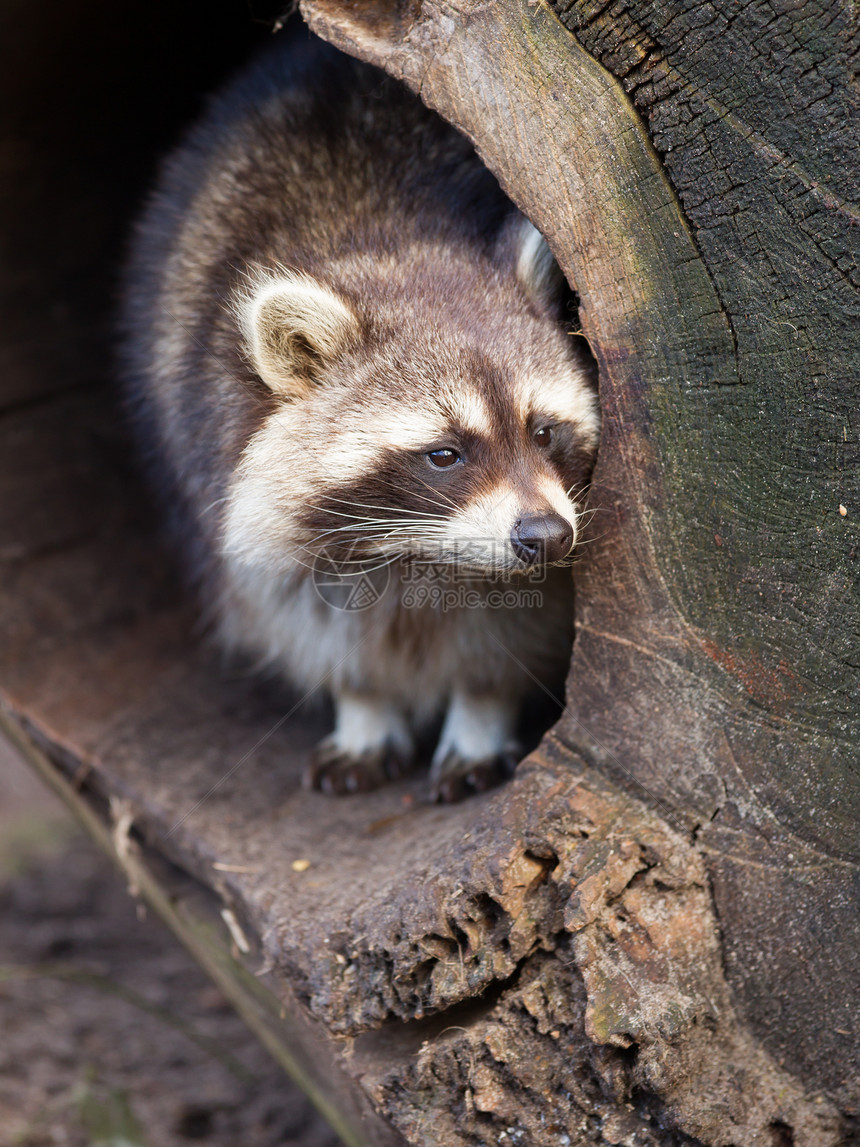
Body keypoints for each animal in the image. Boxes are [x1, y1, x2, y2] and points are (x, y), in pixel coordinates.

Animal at [122, 38, 600, 807]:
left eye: (543, 431)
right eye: (444, 454)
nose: (546, 535)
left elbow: (516, 624)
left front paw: (481, 708)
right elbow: (304, 615)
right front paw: (363, 702)